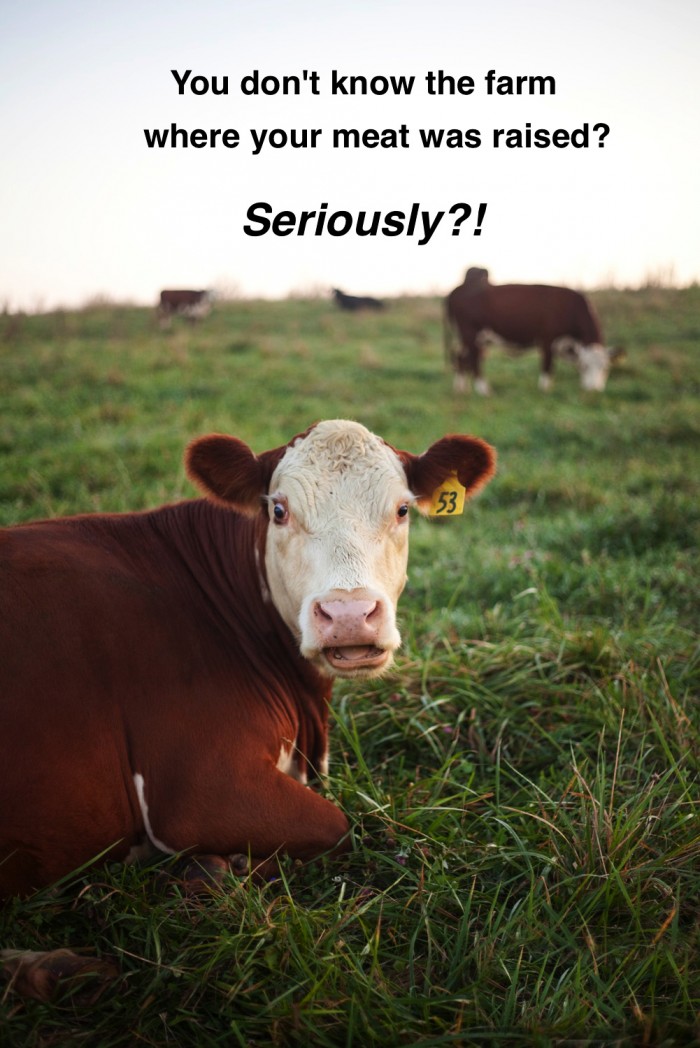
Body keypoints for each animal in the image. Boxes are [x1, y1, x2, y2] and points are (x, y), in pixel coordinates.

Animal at [0, 419, 495, 907]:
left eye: (402, 510)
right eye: (279, 511)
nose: (348, 614)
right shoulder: (201, 790)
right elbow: (338, 829)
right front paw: (220, 868)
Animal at [445, 277, 614, 394]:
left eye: (605, 368)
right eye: (585, 366)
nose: (594, 390)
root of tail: (458, 289)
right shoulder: (547, 339)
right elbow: (547, 365)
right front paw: (544, 390)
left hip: (470, 338)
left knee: (461, 358)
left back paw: (461, 389)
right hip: (471, 334)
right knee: (473, 361)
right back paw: (483, 390)